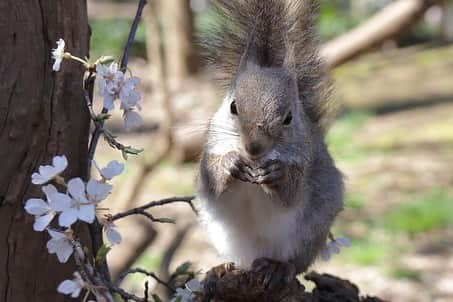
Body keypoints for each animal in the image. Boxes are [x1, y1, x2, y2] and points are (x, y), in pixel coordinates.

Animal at [195, 0, 342, 288]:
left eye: (289, 118)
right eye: (233, 106)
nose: (254, 148)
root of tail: (257, 255)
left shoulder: (306, 162)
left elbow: (292, 193)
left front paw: (278, 174)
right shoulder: (208, 154)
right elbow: (211, 181)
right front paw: (230, 164)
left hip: (308, 233)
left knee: (295, 264)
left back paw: (277, 268)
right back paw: (224, 268)